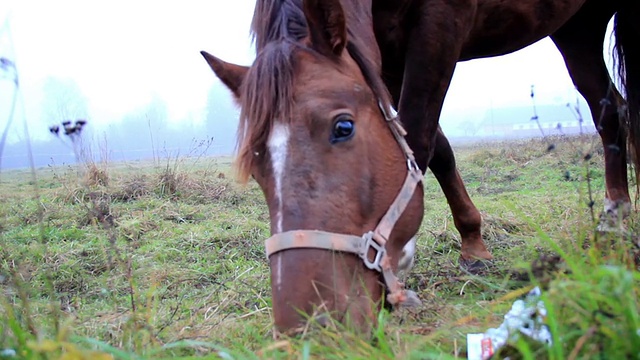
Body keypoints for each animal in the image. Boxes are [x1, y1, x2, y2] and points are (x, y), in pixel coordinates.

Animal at [201, 0, 640, 334]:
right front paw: (472, 243)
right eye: (256, 162)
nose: (307, 326)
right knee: (611, 109)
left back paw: (615, 212)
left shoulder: (439, 26)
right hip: (577, 27)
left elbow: (420, 135)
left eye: (343, 127)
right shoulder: (384, 56)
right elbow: (433, 145)